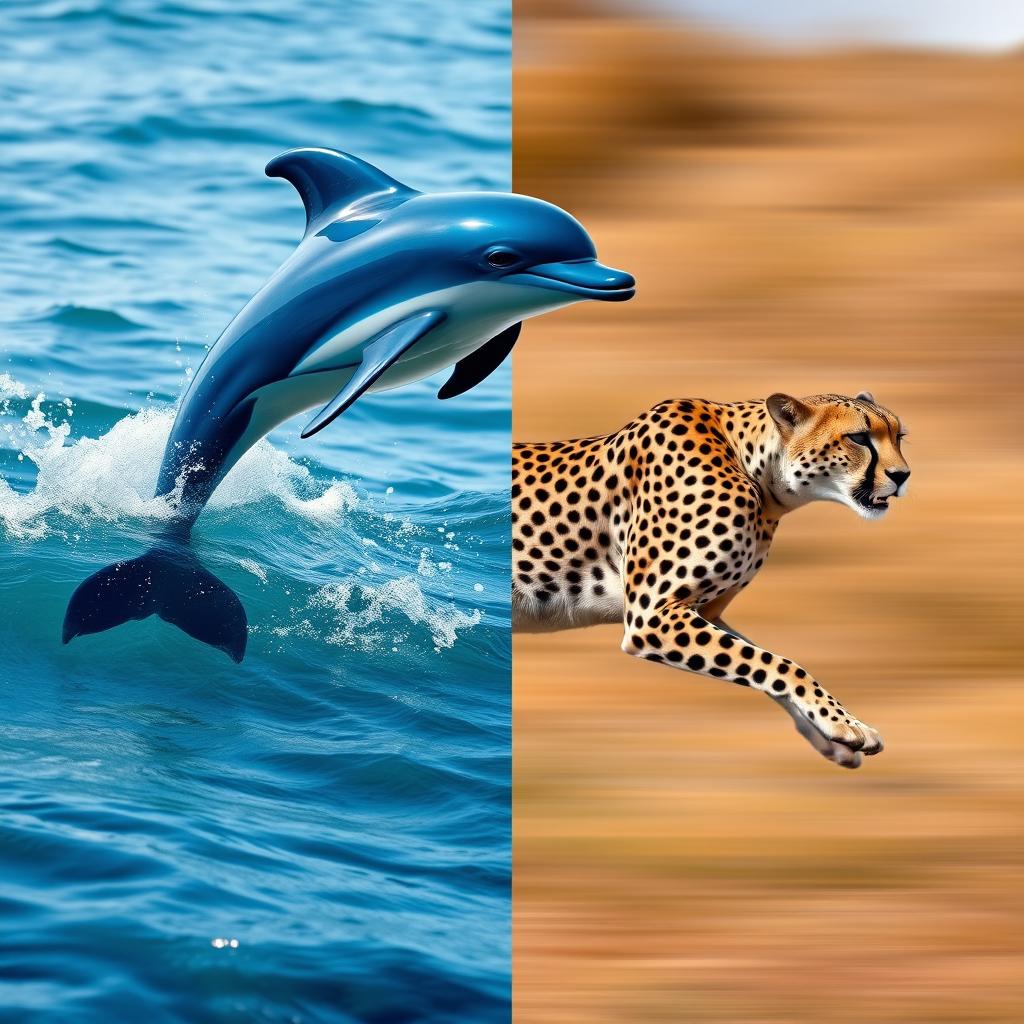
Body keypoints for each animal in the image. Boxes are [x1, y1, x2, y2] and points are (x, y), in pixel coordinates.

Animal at [512, 391, 911, 769]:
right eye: (859, 437)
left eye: (898, 436)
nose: (903, 476)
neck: (757, 473)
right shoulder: (651, 618)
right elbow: (782, 664)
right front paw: (842, 724)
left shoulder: (704, 612)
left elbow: (766, 667)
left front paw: (832, 735)